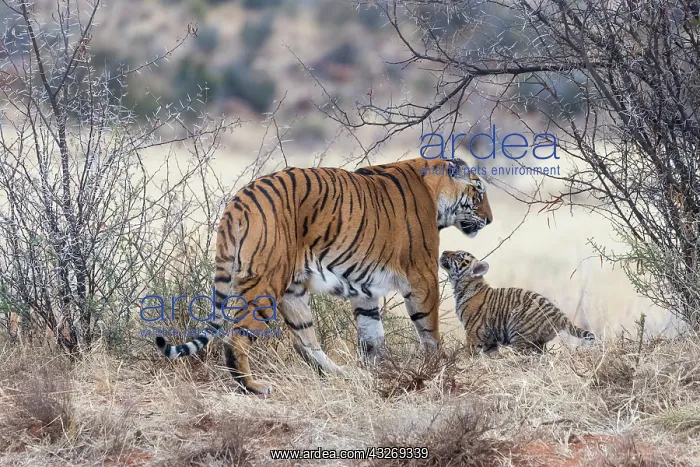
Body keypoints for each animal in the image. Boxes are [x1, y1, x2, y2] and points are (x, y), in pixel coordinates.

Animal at [154, 157, 493, 395]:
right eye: (479, 191)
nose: (490, 220)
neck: (436, 191)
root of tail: (241, 198)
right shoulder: (422, 275)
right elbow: (429, 328)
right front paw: (439, 365)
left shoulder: (365, 290)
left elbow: (372, 336)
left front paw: (378, 371)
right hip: (266, 286)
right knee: (235, 337)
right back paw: (252, 386)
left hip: (293, 292)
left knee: (305, 344)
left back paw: (344, 374)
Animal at [439, 250, 595, 354]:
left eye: (459, 256)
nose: (444, 251)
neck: (461, 286)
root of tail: (559, 314)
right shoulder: (490, 339)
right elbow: (491, 353)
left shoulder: (473, 331)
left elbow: (470, 351)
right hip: (537, 342)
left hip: (520, 333)